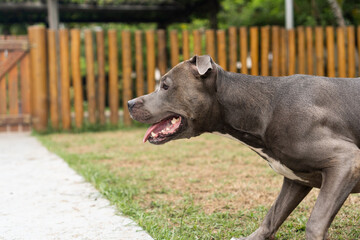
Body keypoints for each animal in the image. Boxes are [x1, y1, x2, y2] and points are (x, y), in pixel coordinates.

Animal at [127, 55, 360, 239]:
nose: (129, 103)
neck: (262, 108)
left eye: (165, 86)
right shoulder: (296, 179)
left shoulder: (346, 161)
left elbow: (315, 224)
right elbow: (273, 216)